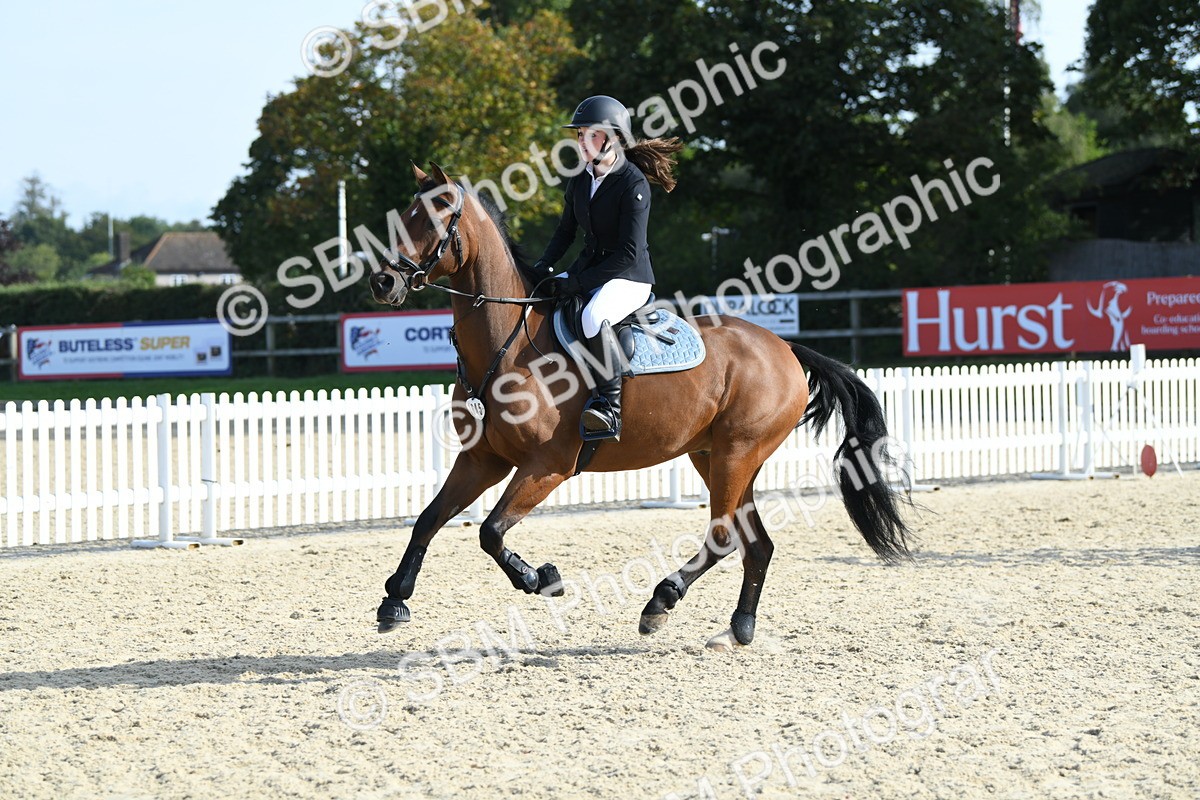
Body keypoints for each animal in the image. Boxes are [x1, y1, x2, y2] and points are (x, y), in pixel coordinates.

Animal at [369, 163, 911, 649]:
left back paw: (660, 603)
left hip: (737, 454)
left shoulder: (546, 466)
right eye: (405, 217)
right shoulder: (483, 459)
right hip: (717, 456)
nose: (383, 283)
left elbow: (490, 530)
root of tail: (785, 348)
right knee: (755, 542)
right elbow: (429, 519)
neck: (508, 345)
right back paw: (739, 628)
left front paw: (541, 578)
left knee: (723, 536)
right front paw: (394, 600)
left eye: (433, 219)